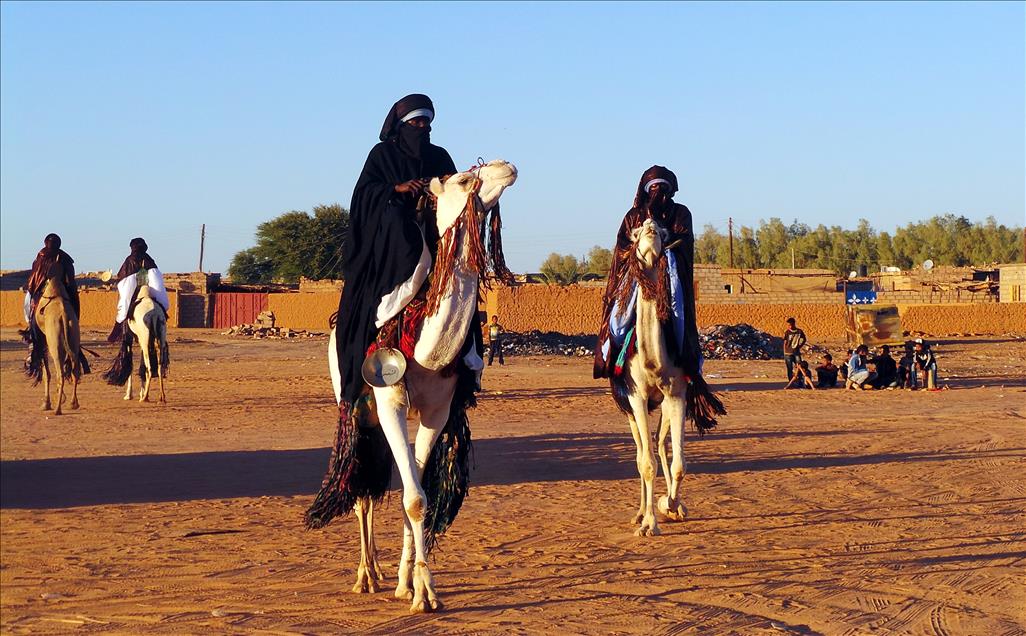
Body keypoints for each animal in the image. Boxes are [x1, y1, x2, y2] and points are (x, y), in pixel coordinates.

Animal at [324, 157, 517, 611]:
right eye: (463, 178)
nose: (506, 166)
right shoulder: (390, 399)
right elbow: (412, 497)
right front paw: (423, 590)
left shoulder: (436, 410)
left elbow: (418, 497)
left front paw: (411, 583)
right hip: (357, 405)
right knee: (361, 484)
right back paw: (365, 574)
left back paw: (383, 572)